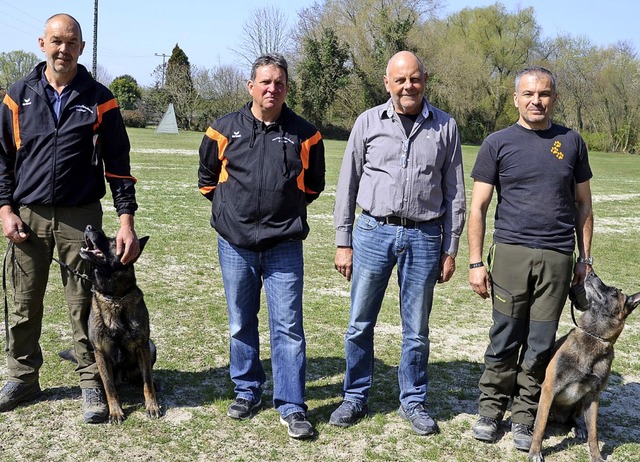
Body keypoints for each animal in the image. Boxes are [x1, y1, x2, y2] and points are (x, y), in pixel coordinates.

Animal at [79, 224, 162, 422]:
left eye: (112, 242)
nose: (89, 226)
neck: (115, 297)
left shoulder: (142, 346)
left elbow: (147, 383)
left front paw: (152, 406)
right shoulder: (100, 352)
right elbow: (109, 387)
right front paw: (115, 411)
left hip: (151, 347)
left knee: (143, 377)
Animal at [528, 270, 640, 462]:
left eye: (613, 291)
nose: (591, 272)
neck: (594, 336)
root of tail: (556, 418)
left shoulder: (593, 397)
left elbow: (593, 432)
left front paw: (596, 456)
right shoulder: (549, 389)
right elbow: (540, 426)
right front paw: (535, 452)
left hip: (580, 404)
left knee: (571, 421)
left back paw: (577, 427)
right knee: (541, 420)